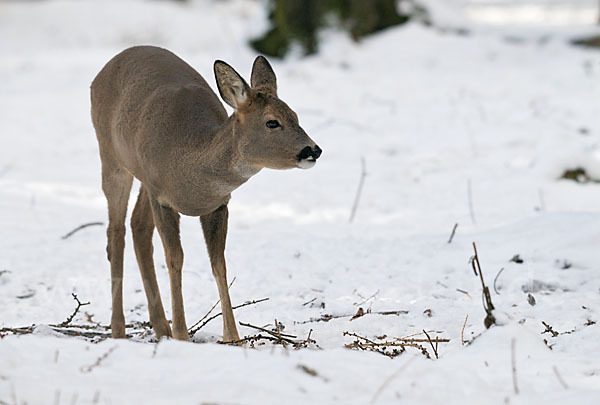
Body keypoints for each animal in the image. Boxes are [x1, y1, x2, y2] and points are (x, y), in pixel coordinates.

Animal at [91, 45, 322, 340]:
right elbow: (175, 259)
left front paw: (232, 337)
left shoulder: (217, 205)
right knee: (115, 232)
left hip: (142, 176)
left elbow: (218, 263)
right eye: (272, 122)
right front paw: (182, 335)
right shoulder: (162, 197)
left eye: (295, 116)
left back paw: (161, 327)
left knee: (138, 227)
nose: (313, 150)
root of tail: (109, 65)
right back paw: (119, 330)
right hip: (111, 154)